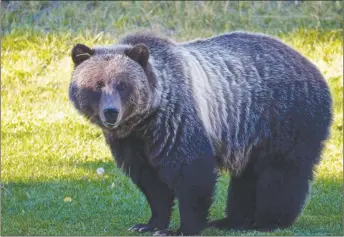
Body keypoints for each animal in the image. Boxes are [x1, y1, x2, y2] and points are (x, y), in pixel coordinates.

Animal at [68, 31, 334, 235]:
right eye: (98, 84)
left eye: (123, 85)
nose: (111, 112)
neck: (146, 119)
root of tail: (312, 66)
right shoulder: (132, 142)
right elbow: (151, 182)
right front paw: (148, 224)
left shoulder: (176, 123)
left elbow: (192, 173)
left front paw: (182, 228)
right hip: (249, 134)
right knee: (246, 177)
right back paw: (232, 220)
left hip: (286, 117)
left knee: (280, 173)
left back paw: (268, 221)